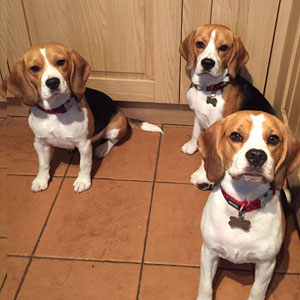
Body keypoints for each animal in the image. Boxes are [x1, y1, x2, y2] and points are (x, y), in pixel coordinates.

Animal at [4, 42, 163, 192]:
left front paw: (82, 181)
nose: (53, 82)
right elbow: (43, 164)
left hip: (114, 130)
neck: (55, 111)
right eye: (34, 68)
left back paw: (102, 148)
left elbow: (84, 164)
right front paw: (41, 180)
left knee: (112, 140)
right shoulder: (39, 143)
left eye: (61, 61)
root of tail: (120, 110)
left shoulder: (84, 144)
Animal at [179, 23, 276, 189]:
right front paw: (191, 147)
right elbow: (195, 133)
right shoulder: (197, 115)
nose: (207, 63)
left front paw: (201, 175)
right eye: (200, 44)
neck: (209, 88)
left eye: (223, 47)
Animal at [195, 110, 300, 300]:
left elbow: (257, 292)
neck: (243, 203)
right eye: (236, 136)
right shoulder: (209, 252)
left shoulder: (266, 264)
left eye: (273, 139)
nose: (257, 155)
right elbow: (205, 286)